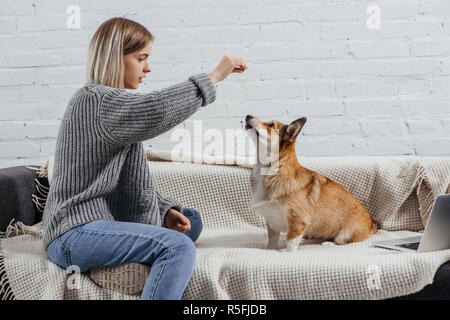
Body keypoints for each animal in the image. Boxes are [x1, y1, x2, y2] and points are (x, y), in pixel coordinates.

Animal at [244, 114, 378, 251]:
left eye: (271, 125)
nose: (248, 115)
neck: (268, 169)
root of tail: (371, 221)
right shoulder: (271, 222)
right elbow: (272, 240)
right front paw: (270, 249)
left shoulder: (297, 220)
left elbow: (291, 241)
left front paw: (285, 252)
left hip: (345, 234)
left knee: (340, 241)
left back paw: (328, 243)